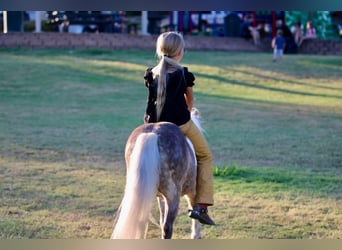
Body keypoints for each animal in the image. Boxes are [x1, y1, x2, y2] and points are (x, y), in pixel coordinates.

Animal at [111, 108, 203, 239]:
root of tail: (152, 134)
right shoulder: (192, 192)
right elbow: (194, 212)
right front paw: (196, 234)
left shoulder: (161, 197)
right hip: (173, 196)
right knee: (167, 227)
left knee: (141, 221)